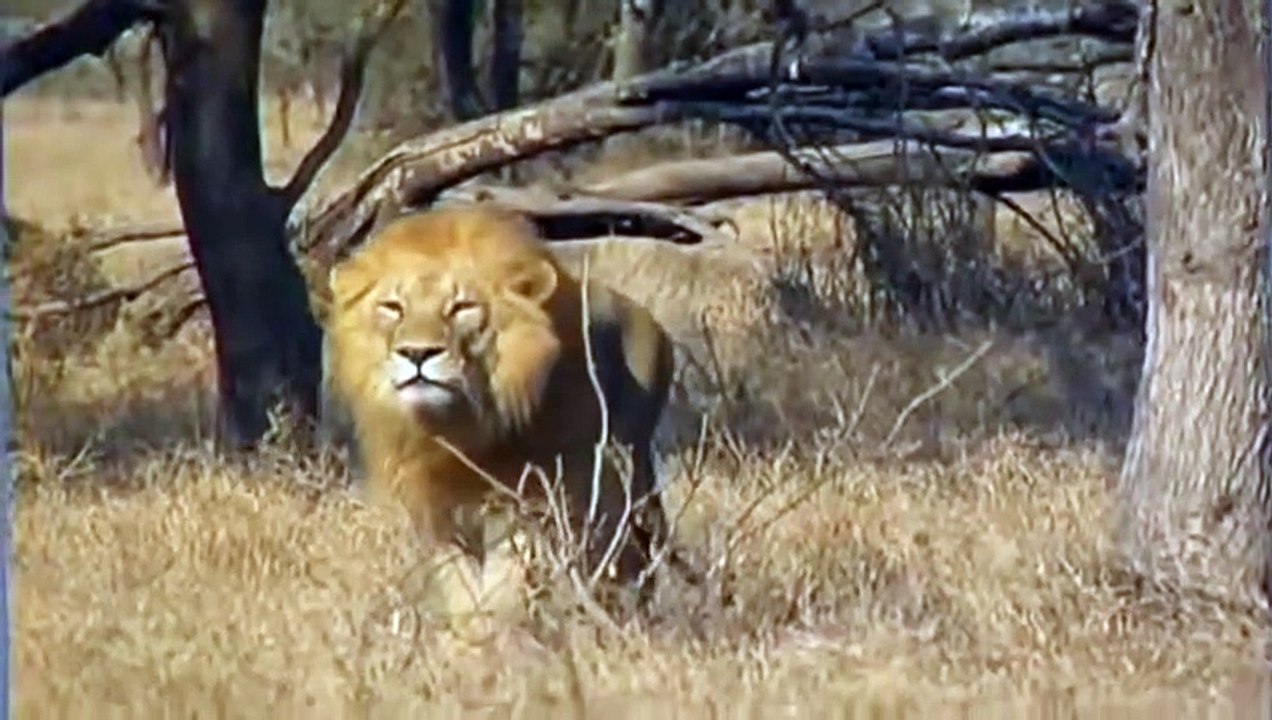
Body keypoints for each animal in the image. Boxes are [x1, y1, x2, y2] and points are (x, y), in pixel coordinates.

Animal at [322, 204, 680, 608]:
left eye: (462, 307)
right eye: (393, 307)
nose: (417, 353)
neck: (458, 429)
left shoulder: (526, 509)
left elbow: (505, 589)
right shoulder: (437, 516)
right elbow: (459, 590)